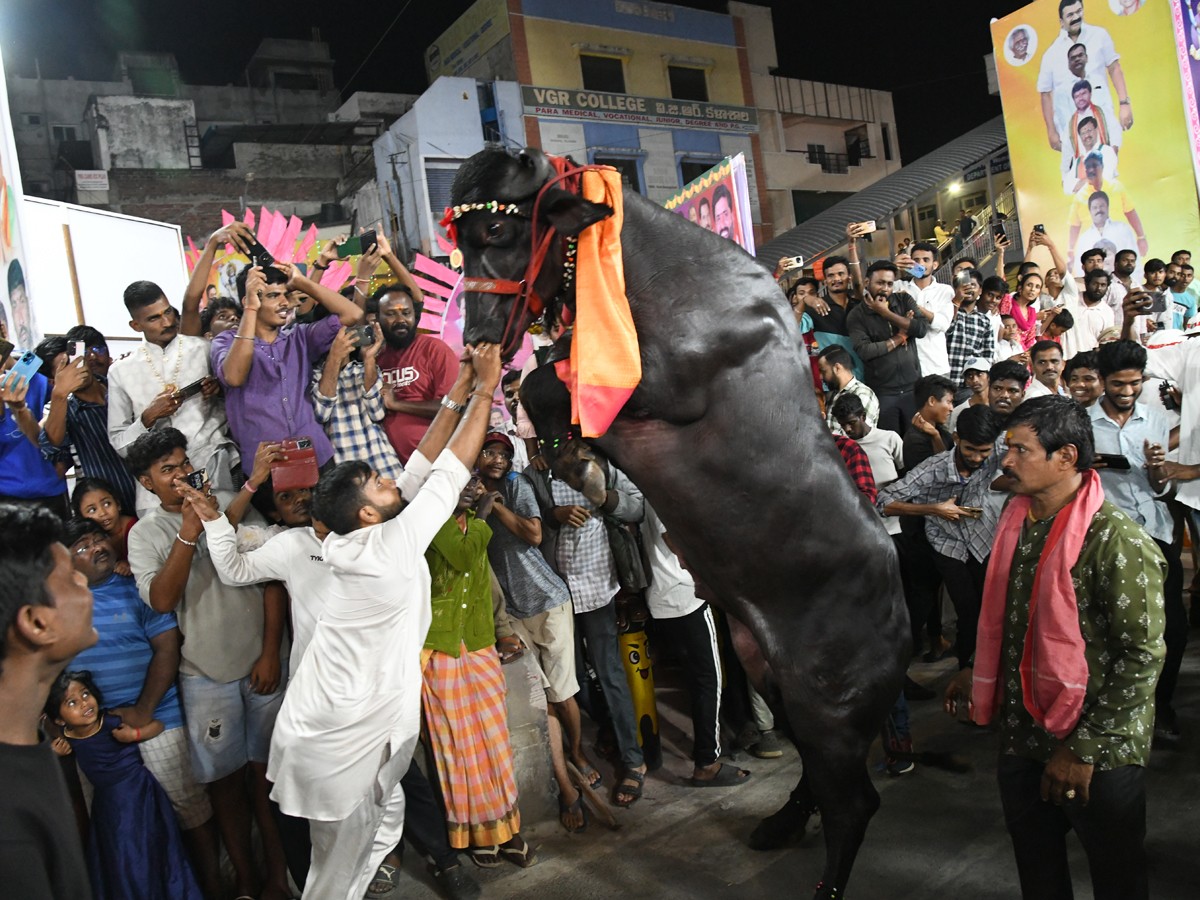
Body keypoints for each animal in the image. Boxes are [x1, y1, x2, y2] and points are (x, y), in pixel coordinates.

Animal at [451, 144, 907, 897]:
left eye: (496, 229)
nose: (477, 339)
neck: (658, 276)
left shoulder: (662, 386)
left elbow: (552, 377)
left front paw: (564, 439)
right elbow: (550, 380)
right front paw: (567, 451)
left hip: (832, 700)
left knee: (854, 802)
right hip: (770, 672)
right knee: (818, 776)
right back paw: (781, 822)